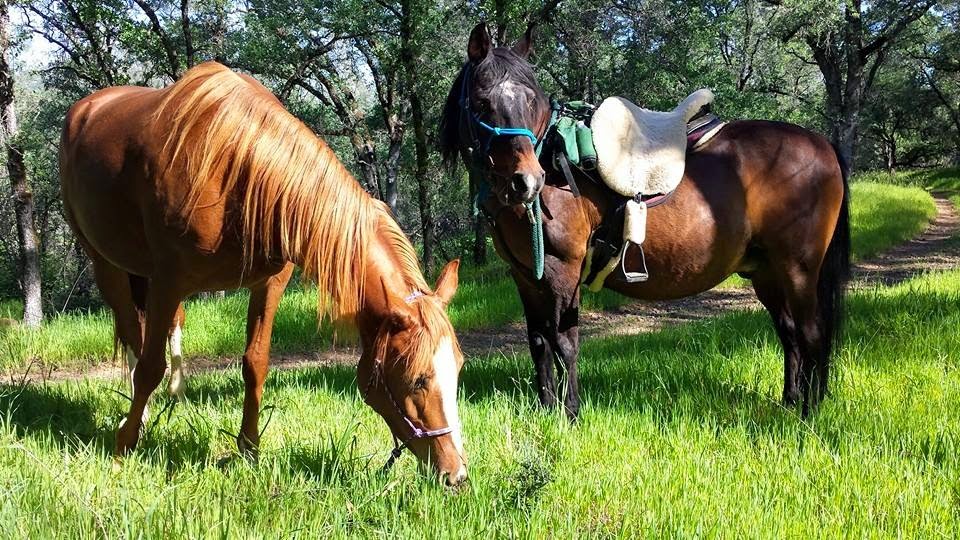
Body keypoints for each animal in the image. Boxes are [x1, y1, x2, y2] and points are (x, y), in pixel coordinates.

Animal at [60, 62, 468, 485]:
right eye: (418, 378)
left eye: (458, 368)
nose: (456, 474)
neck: (234, 170)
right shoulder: (169, 281)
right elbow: (149, 366)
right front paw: (123, 447)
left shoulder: (269, 283)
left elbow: (255, 364)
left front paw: (249, 450)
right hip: (108, 265)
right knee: (132, 336)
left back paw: (173, 401)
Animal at [439, 23, 850, 419]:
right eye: (482, 102)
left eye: (531, 101)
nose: (526, 181)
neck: (554, 157)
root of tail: (823, 145)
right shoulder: (527, 276)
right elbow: (538, 342)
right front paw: (545, 408)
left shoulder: (561, 271)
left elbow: (565, 343)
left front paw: (569, 414)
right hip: (766, 272)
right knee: (790, 333)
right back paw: (791, 403)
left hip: (797, 269)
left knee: (811, 334)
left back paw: (809, 414)